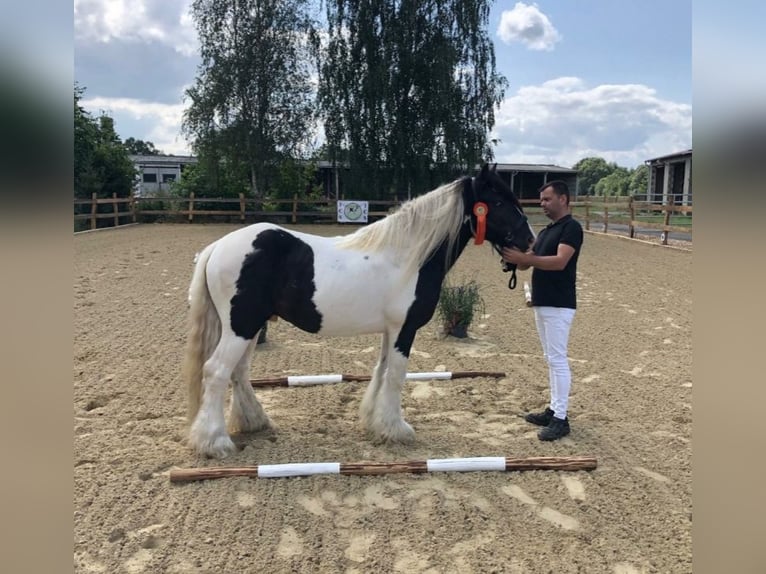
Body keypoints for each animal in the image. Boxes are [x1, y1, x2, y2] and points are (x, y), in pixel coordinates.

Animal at [183, 165, 536, 460]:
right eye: (499, 202)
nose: (529, 241)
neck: (407, 258)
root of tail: (217, 247)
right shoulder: (404, 328)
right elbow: (396, 375)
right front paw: (397, 430)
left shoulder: (390, 330)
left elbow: (381, 370)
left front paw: (374, 423)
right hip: (242, 326)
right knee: (216, 371)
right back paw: (215, 443)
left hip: (250, 327)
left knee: (238, 372)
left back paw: (254, 422)